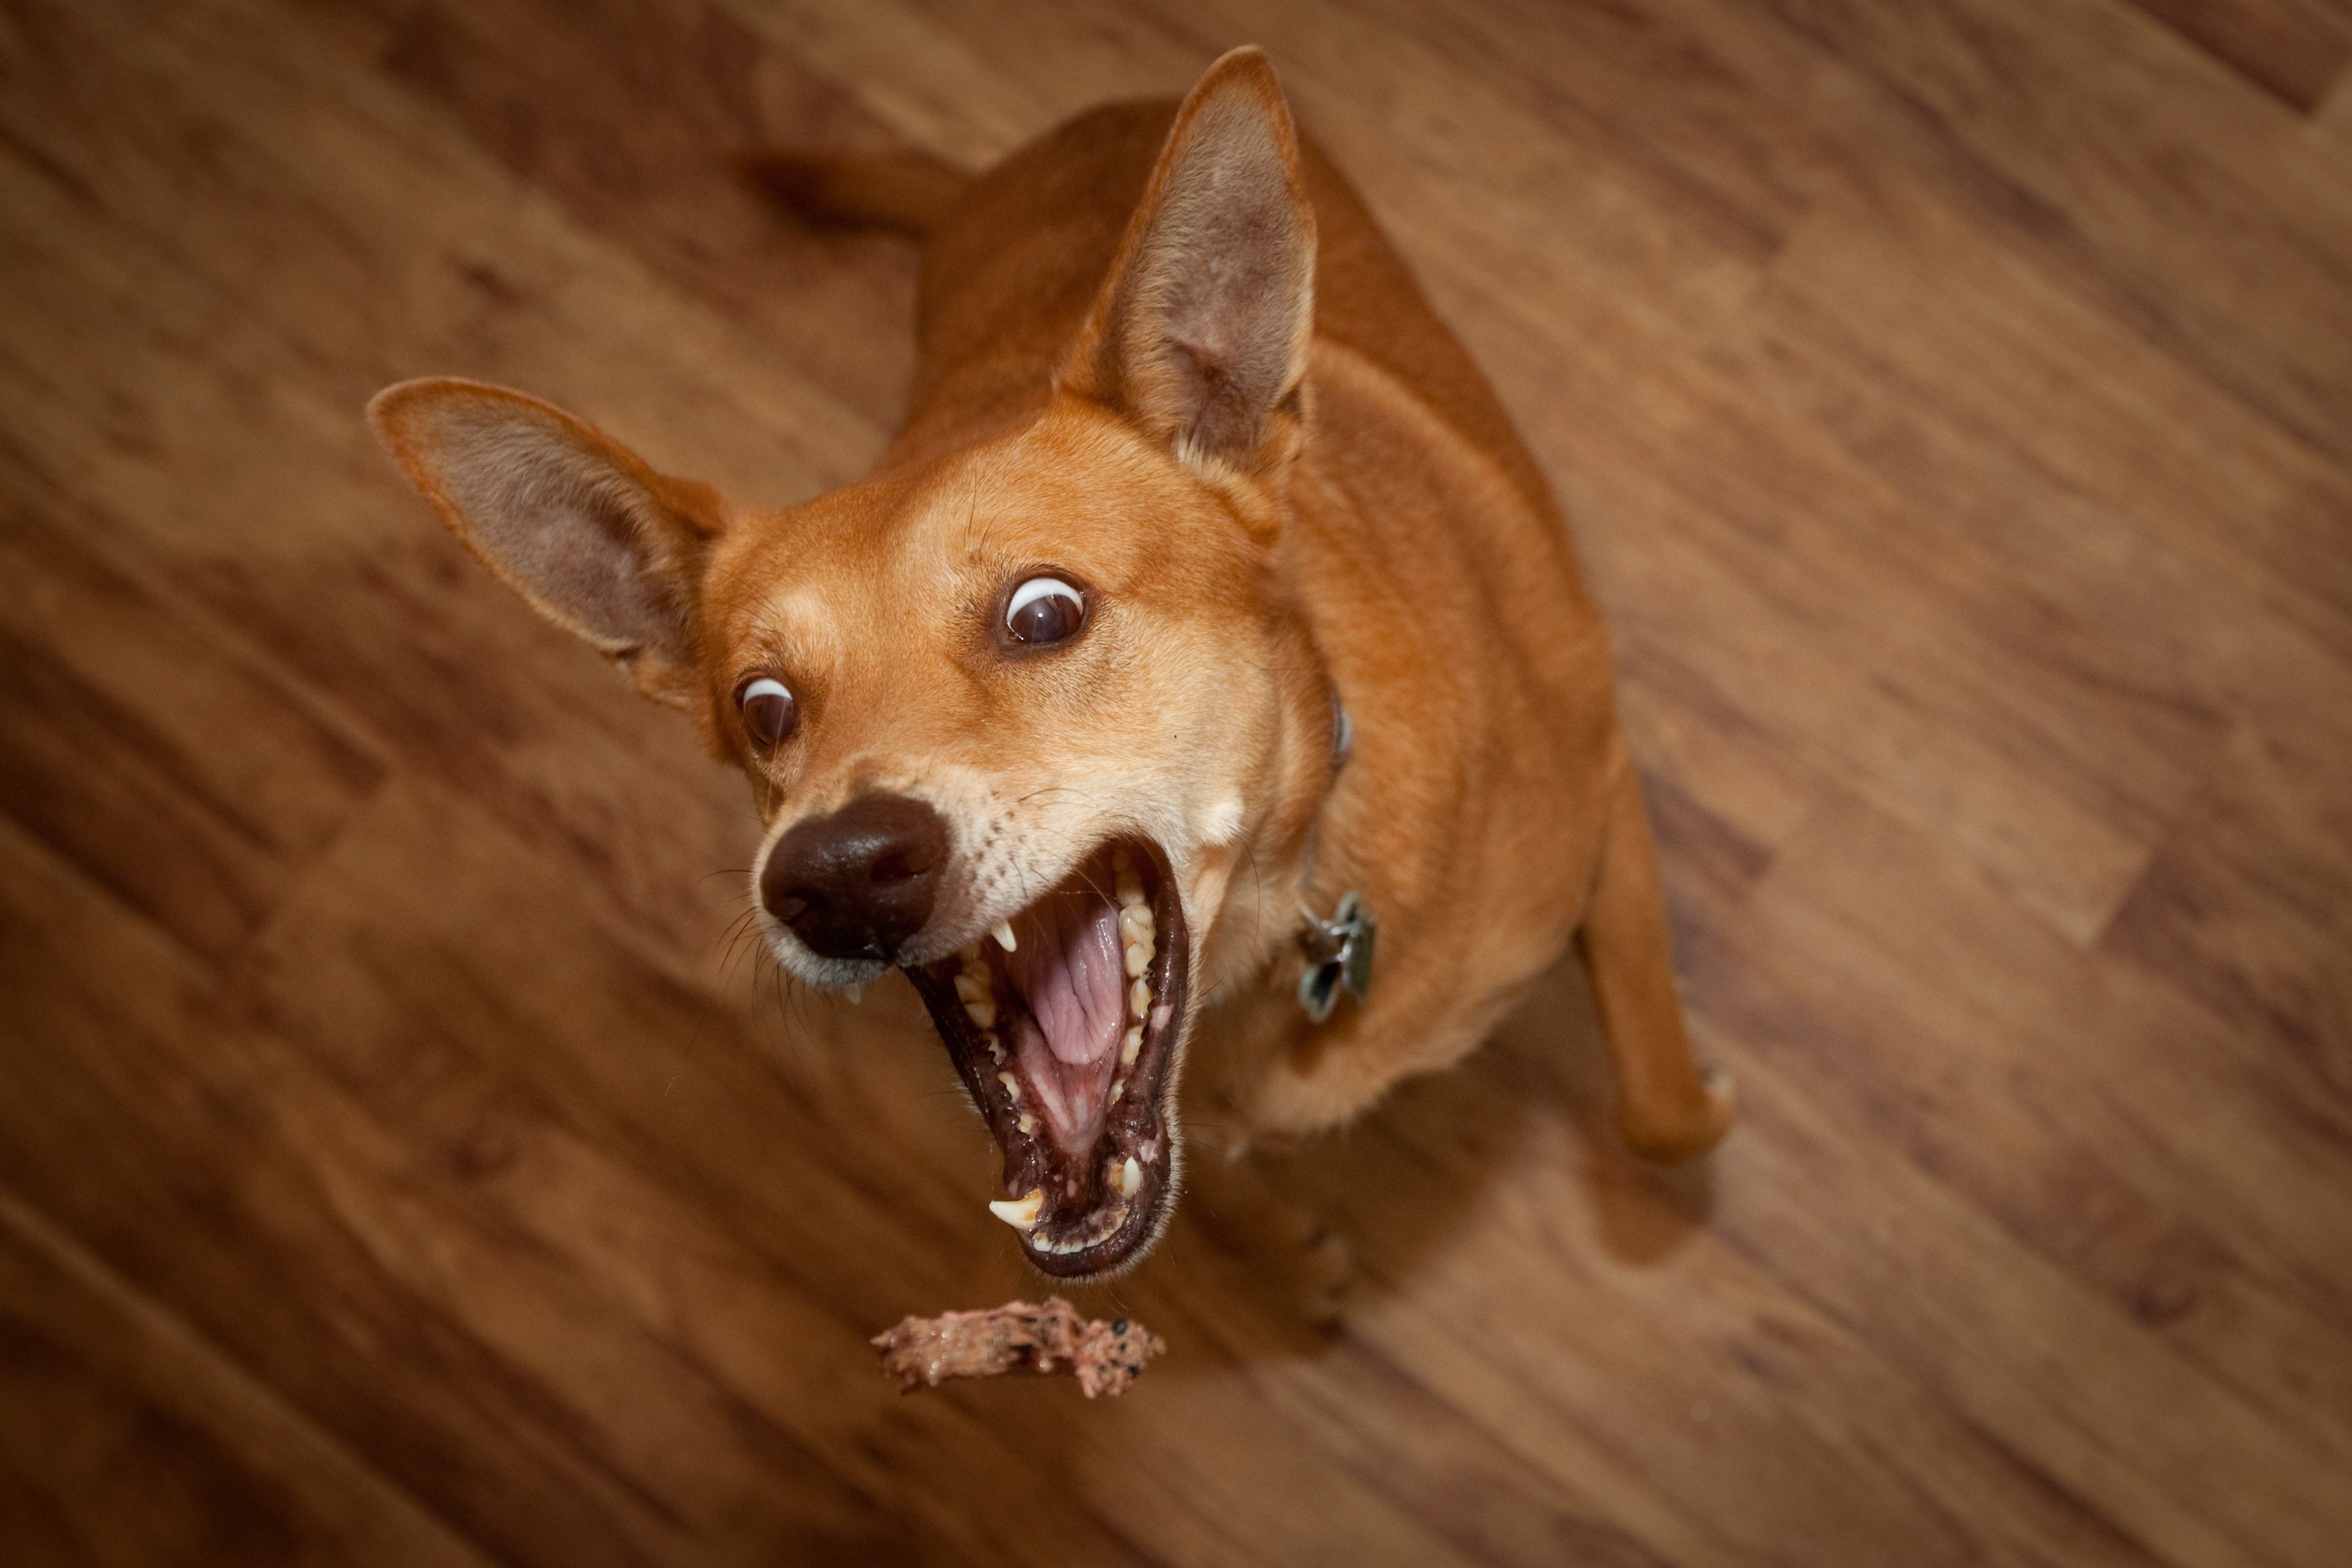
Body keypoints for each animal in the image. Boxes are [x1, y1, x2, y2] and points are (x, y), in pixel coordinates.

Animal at [367, 46, 1731, 1288]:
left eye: (1043, 613)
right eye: (763, 709)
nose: (836, 873)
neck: (1276, 946)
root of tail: (1013, 164)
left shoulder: (1605, 787)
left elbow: (1658, 1109)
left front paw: (1700, 1099)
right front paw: (1287, 1256)